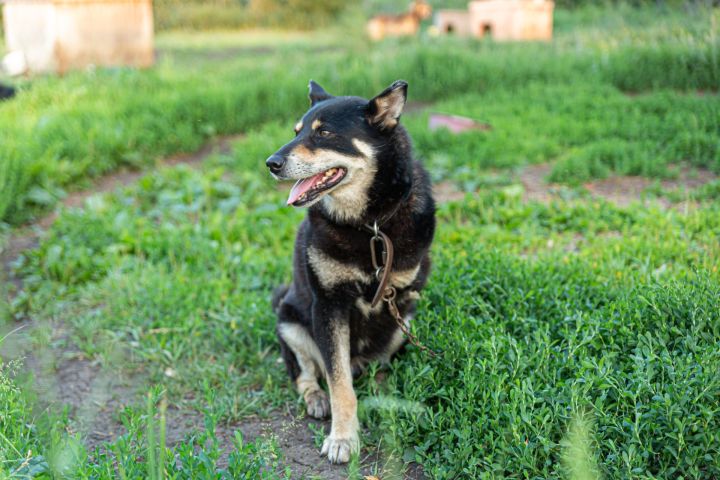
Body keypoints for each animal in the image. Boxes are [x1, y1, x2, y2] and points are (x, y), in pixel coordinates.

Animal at [264, 80, 434, 464]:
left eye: (324, 133)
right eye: (296, 132)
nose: (271, 163)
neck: (369, 224)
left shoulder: (401, 301)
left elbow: (382, 363)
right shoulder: (329, 305)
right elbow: (339, 383)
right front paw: (342, 438)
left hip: (404, 322)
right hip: (290, 319)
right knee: (305, 373)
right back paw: (316, 398)